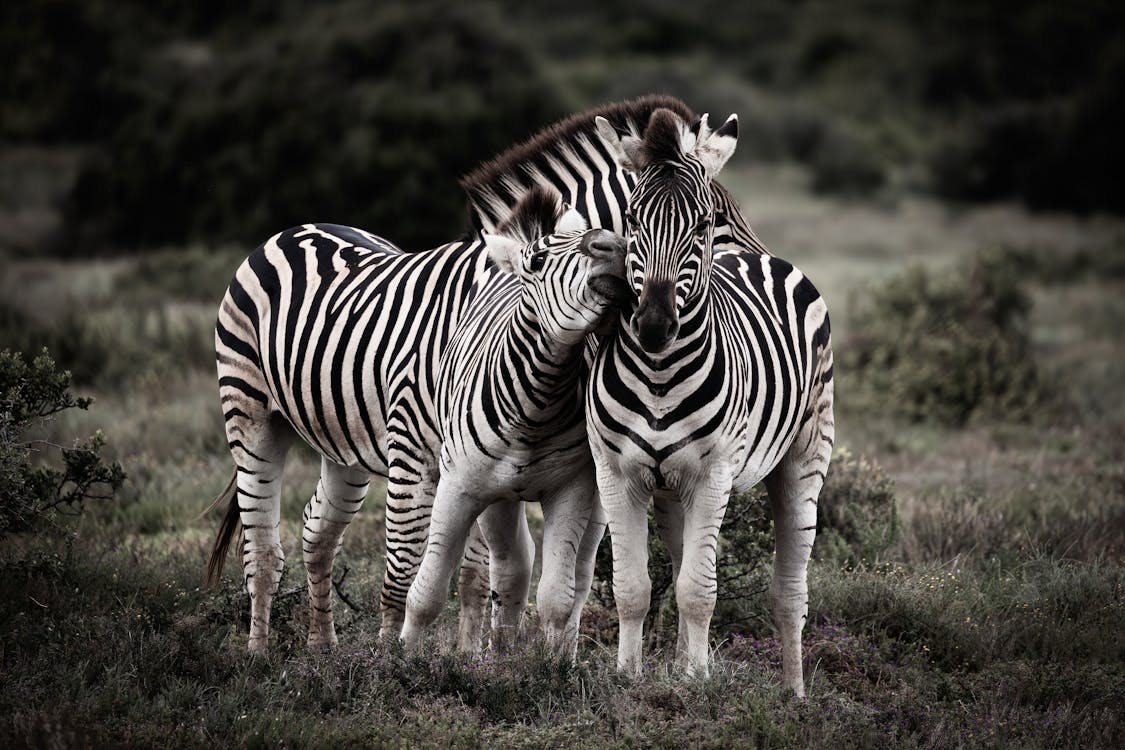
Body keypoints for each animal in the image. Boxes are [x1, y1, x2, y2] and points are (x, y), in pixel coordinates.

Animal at [580, 106, 837, 697]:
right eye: (632, 218)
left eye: (699, 223)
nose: (653, 326)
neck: (658, 373)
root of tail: (751, 256)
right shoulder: (617, 473)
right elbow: (635, 586)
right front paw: (630, 677)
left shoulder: (714, 473)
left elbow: (700, 590)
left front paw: (697, 682)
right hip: (672, 487)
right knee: (677, 568)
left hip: (805, 454)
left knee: (790, 590)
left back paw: (793, 693)